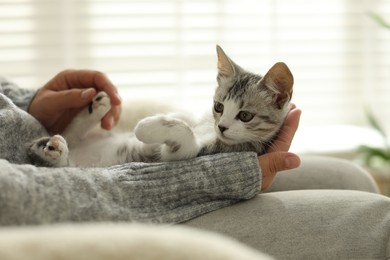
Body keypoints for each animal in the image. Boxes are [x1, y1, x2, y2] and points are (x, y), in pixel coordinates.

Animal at [28, 45, 292, 168]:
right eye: (218, 106)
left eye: (245, 115)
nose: (222, 127)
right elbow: (185, 117)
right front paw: (166, 116)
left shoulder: (189, 153)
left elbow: (185, 136)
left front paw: (145, 126)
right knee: (71, 135)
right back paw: (96, 108)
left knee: (63, 158)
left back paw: (54, 149)